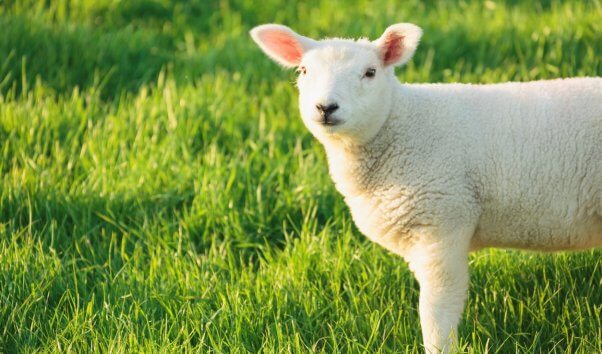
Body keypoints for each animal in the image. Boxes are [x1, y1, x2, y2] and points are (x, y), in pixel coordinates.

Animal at [248, 23, 600, 352]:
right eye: (304, 71)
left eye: (370, 72)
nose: (326, 107)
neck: (400, 126)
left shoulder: (441, 225)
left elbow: (436, 312)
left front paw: (440, 347)